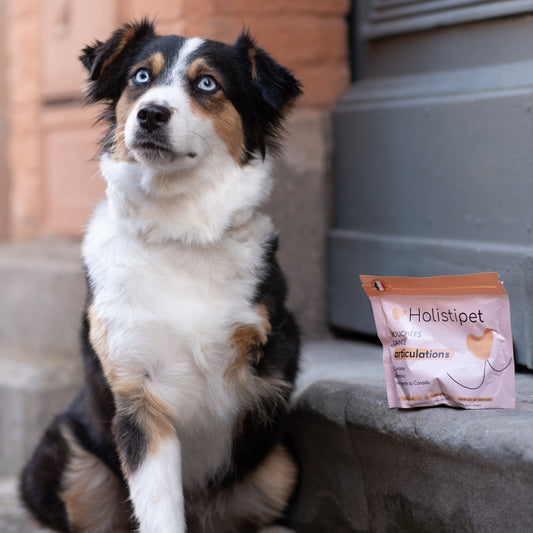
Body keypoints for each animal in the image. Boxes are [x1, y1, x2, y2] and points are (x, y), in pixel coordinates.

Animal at [20, 20, 302, 532]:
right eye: (140, 77)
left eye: (207, 83)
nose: (151, 114)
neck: (177, 230)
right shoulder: (137, 395)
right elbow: (158, 506)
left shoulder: (267, 360)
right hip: (72, 456)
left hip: (280, 467)